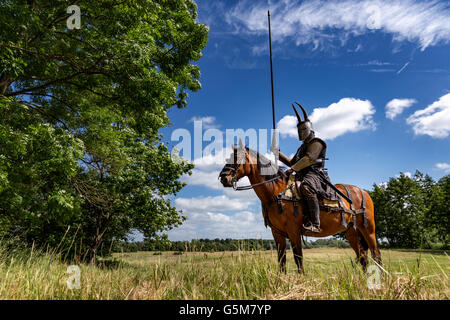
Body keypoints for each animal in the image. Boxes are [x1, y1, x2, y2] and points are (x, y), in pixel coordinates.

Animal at [220, 145, 382, 272]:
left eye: (237, 157)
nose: (223, 178)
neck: (277, 192)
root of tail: (364, 192)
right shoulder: (277, 233)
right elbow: (282, 261)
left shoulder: (294, 231)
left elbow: (298, 259)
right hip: (351, 232)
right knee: (363, 257)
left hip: (368, 229)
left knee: (376, 254)